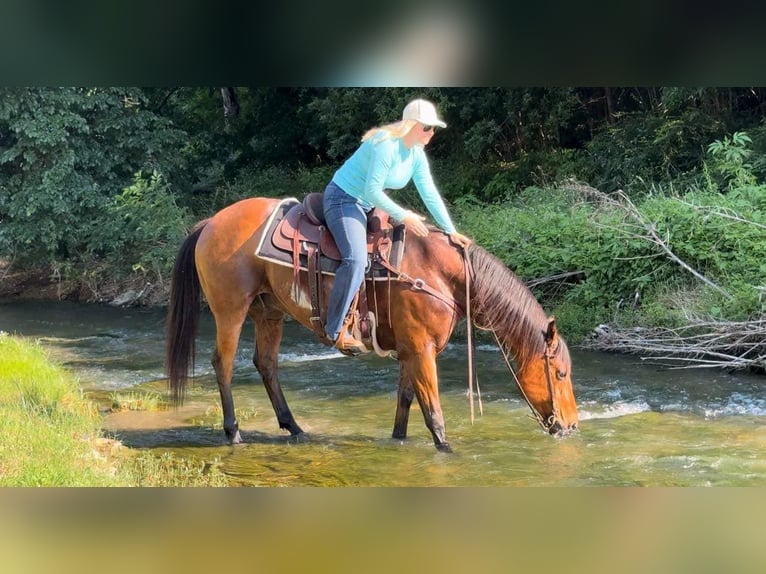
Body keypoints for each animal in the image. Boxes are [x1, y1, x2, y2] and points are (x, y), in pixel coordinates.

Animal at [165, 196, 578, 452]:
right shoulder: (422, 350)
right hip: (230, 310)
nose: (571, 426)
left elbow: (406, 401)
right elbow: (432, 410)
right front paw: (446, 450)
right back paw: (233, 432)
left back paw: (294, 428)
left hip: (269, 312)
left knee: (266, 364)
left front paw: (398, 441)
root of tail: (211, 222)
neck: (439, 271)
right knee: (223, 364)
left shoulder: (411, 350)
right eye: (560, 374)